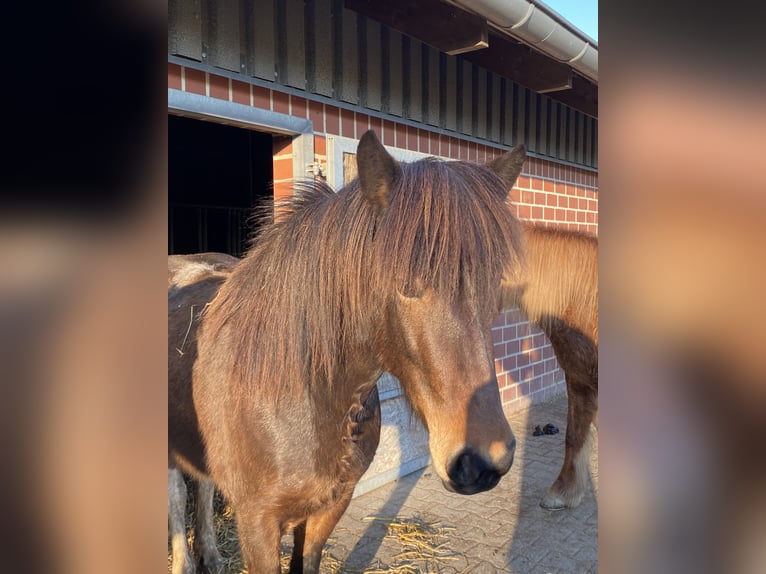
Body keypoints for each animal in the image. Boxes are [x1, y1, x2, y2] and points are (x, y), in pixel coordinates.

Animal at [168, 132, 528, 574]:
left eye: (495, 280)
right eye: (404, 281)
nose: (483, 461)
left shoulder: (330, 508)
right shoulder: (257, 523)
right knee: (177, 495)